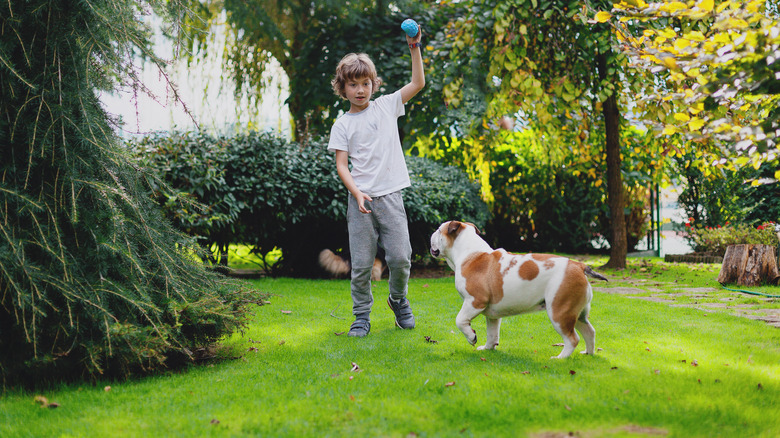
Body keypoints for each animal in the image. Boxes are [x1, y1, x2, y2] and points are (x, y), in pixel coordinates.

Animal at [430, 221, 608, 358]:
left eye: (438, 230)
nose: (432, 233)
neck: (470, 254)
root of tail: (579, 265)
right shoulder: (492, 314)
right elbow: (492, 333)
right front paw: (488, 348)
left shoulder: (474, 301)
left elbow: (460, 320)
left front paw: (471, 337)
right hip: (576, 314)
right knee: (589, 331)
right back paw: (588, 353)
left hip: (559, 312)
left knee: (572, 339)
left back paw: (560, 358)